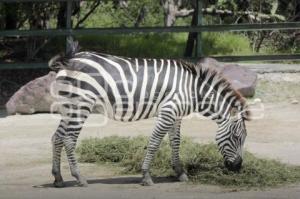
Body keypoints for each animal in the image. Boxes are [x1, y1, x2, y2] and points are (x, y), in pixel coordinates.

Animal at [49, 48, 251, 188]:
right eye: (237, 137)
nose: (238, 167)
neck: (193, 91)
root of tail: (70, 59)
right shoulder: (168, 112)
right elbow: (154, 142)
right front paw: (146, 176)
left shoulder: (176, 116)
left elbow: (176, 142)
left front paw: (180, 173)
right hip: (81, 105)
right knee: (69, 139)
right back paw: (79, 177)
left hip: (69, 107)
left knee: (57, 137)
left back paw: (58, 178)